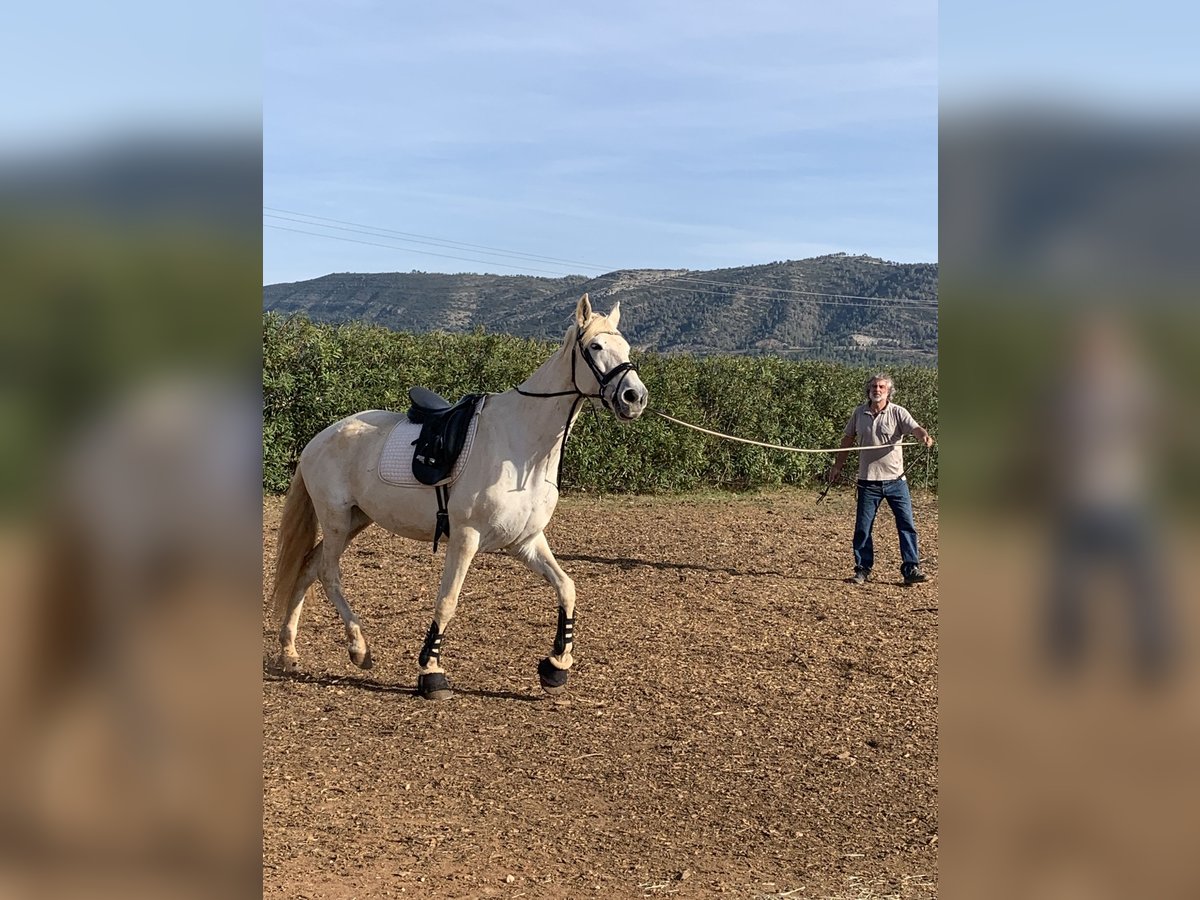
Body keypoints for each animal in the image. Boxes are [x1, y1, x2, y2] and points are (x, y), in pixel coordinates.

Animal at [268, 292, 652, 700]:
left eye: (626, 347)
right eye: (595, 346)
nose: (635, 397)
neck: (521, 446)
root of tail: (319, 439)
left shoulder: (526, 541)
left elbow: (567, 588)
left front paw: (556, 667)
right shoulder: (466, 537)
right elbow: (447, 601)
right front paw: (431, 673)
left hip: (357, 519)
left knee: (308, 567)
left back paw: (289, 652)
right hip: (337, 520)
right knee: (327, 572)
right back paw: (358, 648)